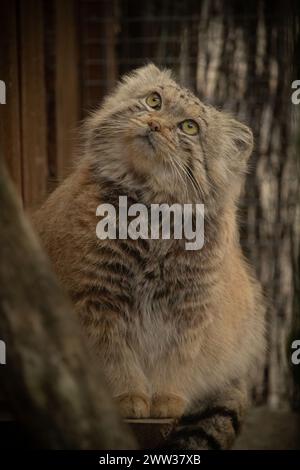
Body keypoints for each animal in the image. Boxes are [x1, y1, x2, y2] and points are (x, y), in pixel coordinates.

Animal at [34, 64, 266, 450]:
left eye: (189, 127)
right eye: (154, 101)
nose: (155, 124)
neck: (151, 214)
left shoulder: (188, 314)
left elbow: (173, 365)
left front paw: (166, 400)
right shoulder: (99, 301)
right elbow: (116, 360)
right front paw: (129, 397)